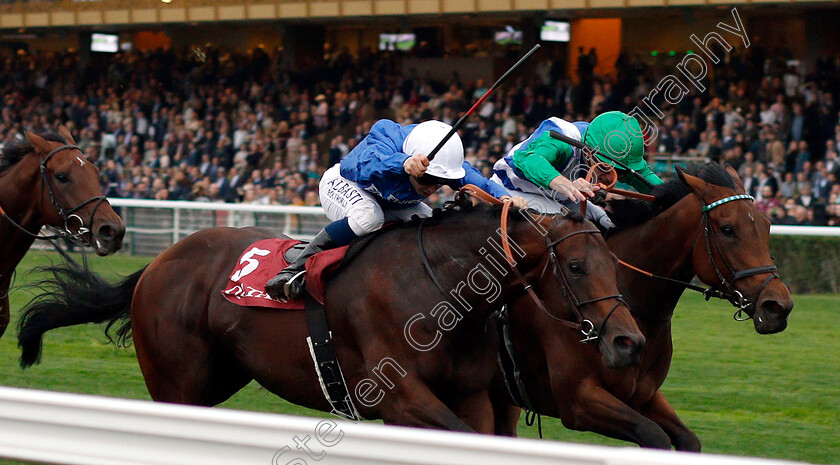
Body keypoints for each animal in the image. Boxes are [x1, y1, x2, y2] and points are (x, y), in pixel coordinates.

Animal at [16, 205, 644, 430]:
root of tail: (154, 265)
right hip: (177, 385)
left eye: (615, 263)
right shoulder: (402, 399)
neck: (439, 288)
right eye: (577, 266)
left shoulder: (470, 395)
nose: (627, 342)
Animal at [488, 164, 792, 450]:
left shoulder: (644, 395)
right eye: (728, 229)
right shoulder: (577, 400)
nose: (778, 306)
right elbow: (653, 434)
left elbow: (688, 439)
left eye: (766, 225)